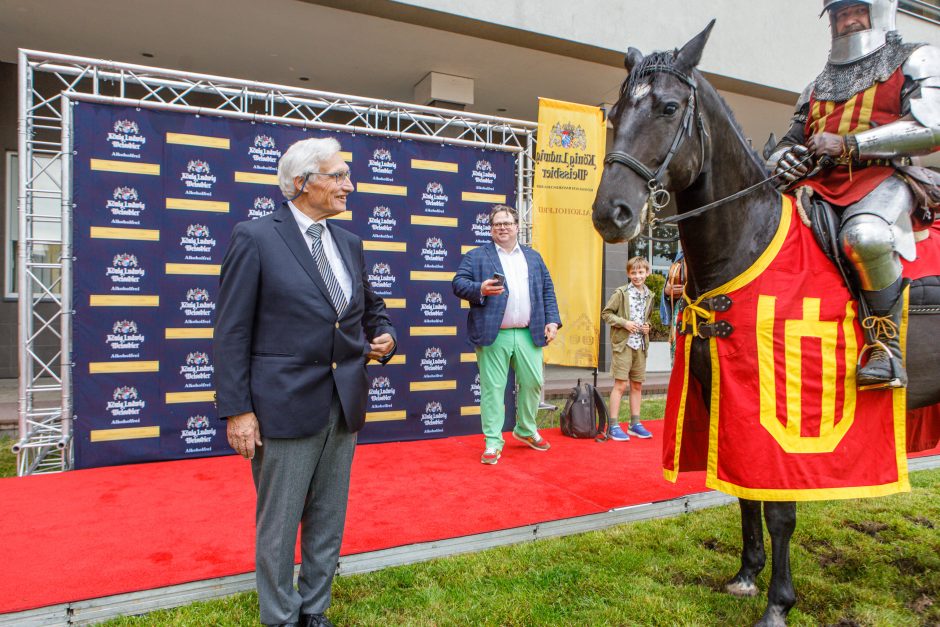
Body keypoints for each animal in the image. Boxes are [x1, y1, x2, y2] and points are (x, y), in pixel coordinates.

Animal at [596, 20, 940, 627]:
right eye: (615, 111)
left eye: (668, 107)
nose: (610, 213)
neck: (748, 240)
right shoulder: (728, 398)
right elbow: (745, 493)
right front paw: (746, 575)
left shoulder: (787, 415)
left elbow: (779, 508)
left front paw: (779, 601)